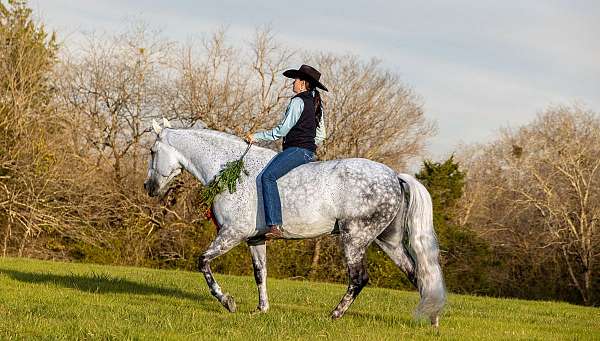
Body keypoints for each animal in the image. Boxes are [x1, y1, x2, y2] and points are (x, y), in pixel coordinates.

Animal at [144, 121, 446, 326]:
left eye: (152, 151)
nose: (149, 187)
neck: (232, 169)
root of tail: (395, 176)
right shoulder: (255, 239)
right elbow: (260, 273)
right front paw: (261, 309)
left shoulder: (232, 233)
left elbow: (203, 262)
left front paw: (227, 302)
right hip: (388, 242)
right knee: (418, 274)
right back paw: (431, 319)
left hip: (354, 238)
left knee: (359, 279)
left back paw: (334, 315)